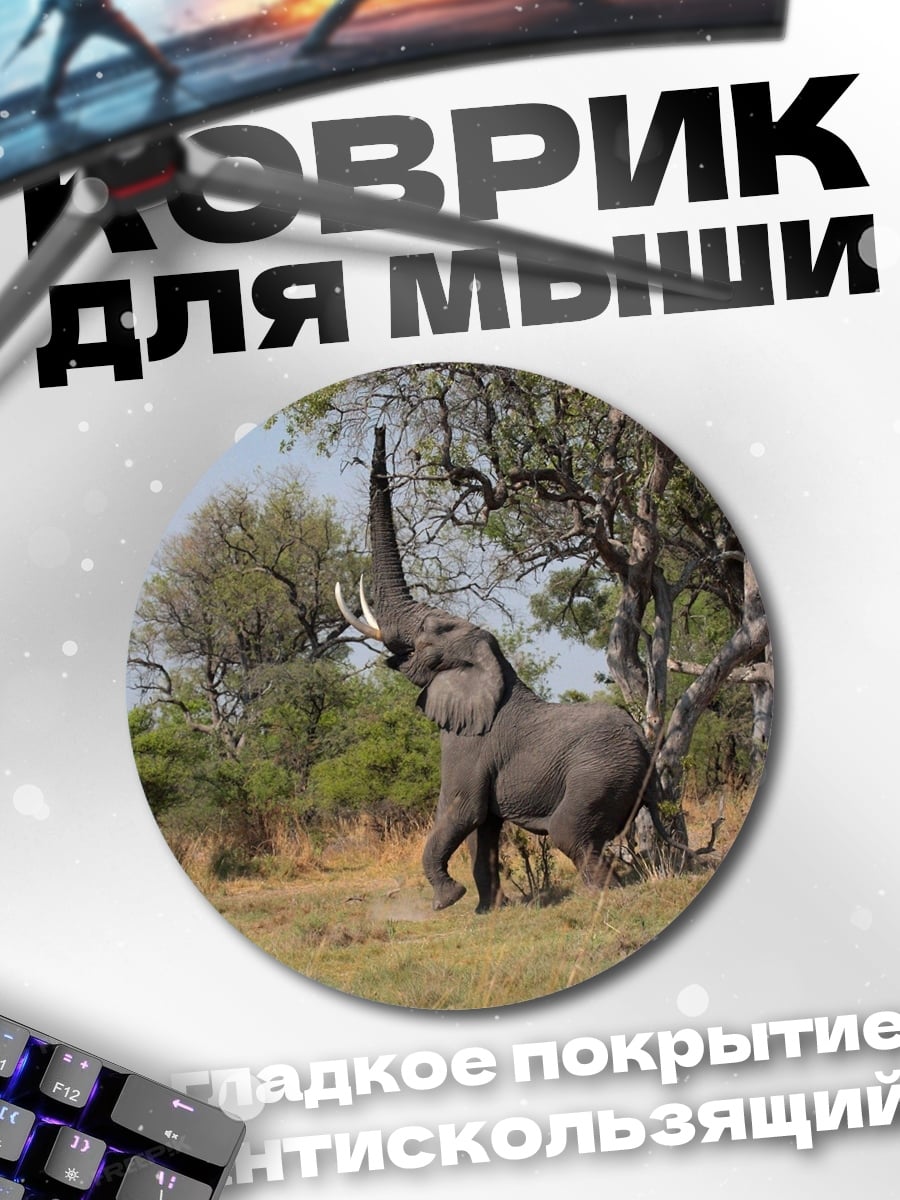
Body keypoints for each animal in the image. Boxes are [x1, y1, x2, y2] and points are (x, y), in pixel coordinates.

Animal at [335, 427, 679, 913]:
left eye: (431, 634)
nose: (382, 428)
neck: (490, 665)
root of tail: (646, 750)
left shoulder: (468, 744)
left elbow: (461, 812)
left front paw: (447, 901)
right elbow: (485, 832)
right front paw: (488, 910)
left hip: (599, 775)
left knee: (570, 835)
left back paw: (601, 894)